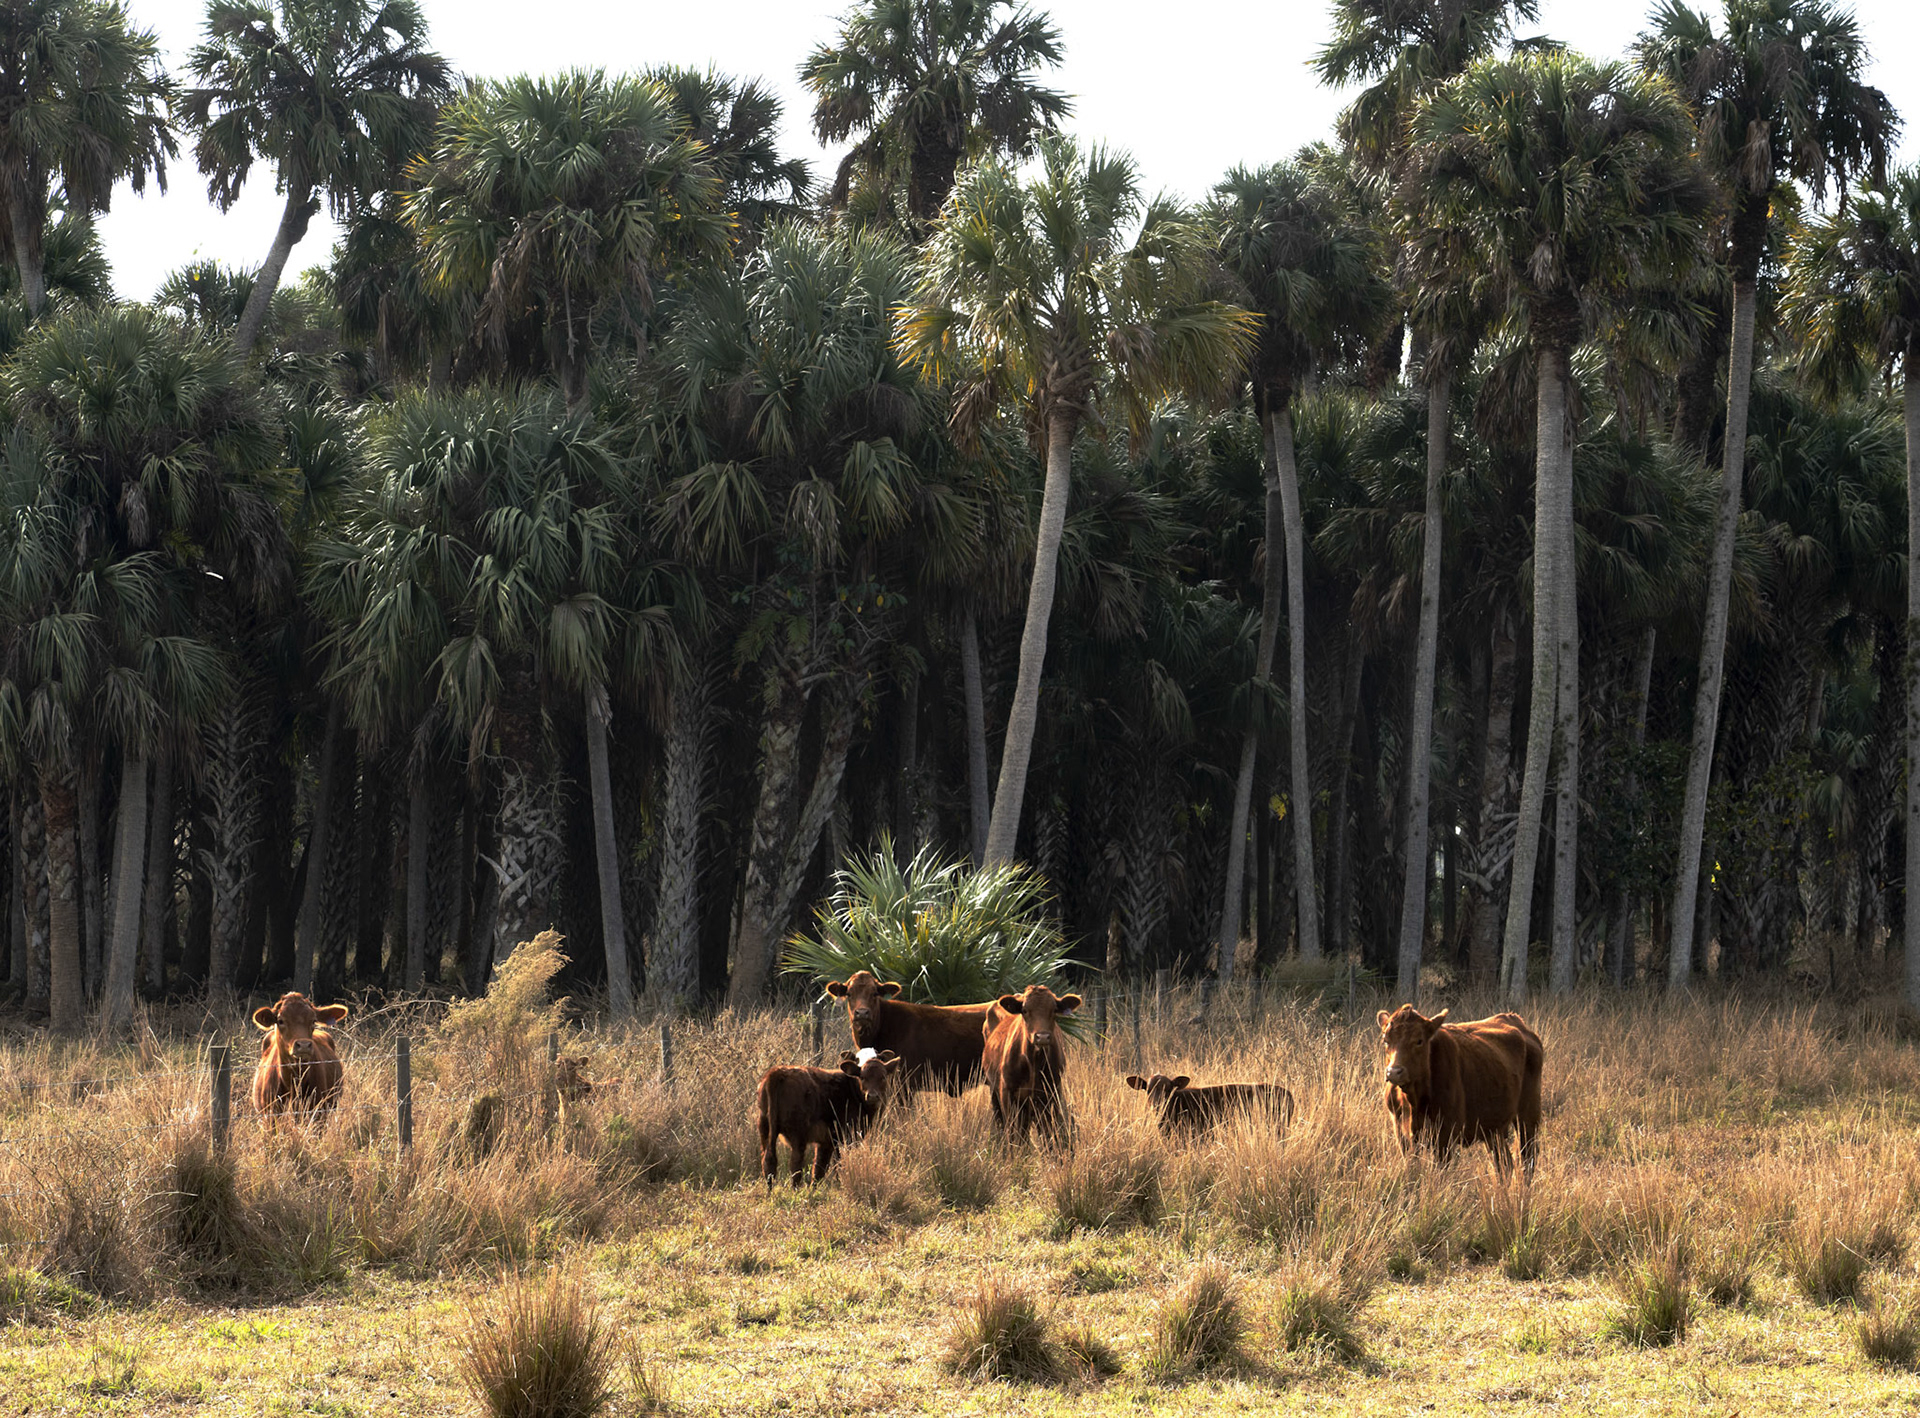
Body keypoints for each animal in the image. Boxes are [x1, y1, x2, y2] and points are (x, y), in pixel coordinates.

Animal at [755, 1048, 904, 1187]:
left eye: (883, 1077)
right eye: (862, 1077)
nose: (872, 1096)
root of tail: (778, 1072)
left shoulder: (827, 1142)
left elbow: (819, 1169)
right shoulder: (847, 1138)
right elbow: (839, 1165)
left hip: (765, 1128)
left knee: (768, 1162)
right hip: (798, 1135)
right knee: (795, 1166)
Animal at [982, 984, 1080, 1143]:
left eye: (1054, 1010)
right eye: (1025, 1010)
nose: (1042, 1037)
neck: (1033, 1061)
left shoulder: (1051, 1094)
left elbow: (1049, 1134)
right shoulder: (1006, 1092)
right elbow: (1012, 1132)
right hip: (994, 1090)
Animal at [1377, 1004, 1542, 1183]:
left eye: (1419, 1040)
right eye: (1386, 1040)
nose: (1394, 1072)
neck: (1414, 1101)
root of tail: (1515, 1020)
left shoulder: (1445, 1135)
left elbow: (1441, 1172)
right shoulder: (1402, 1132)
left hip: (1528, 1118)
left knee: (1528, 1158)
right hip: (1493, 1129)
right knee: (1504, 1163)